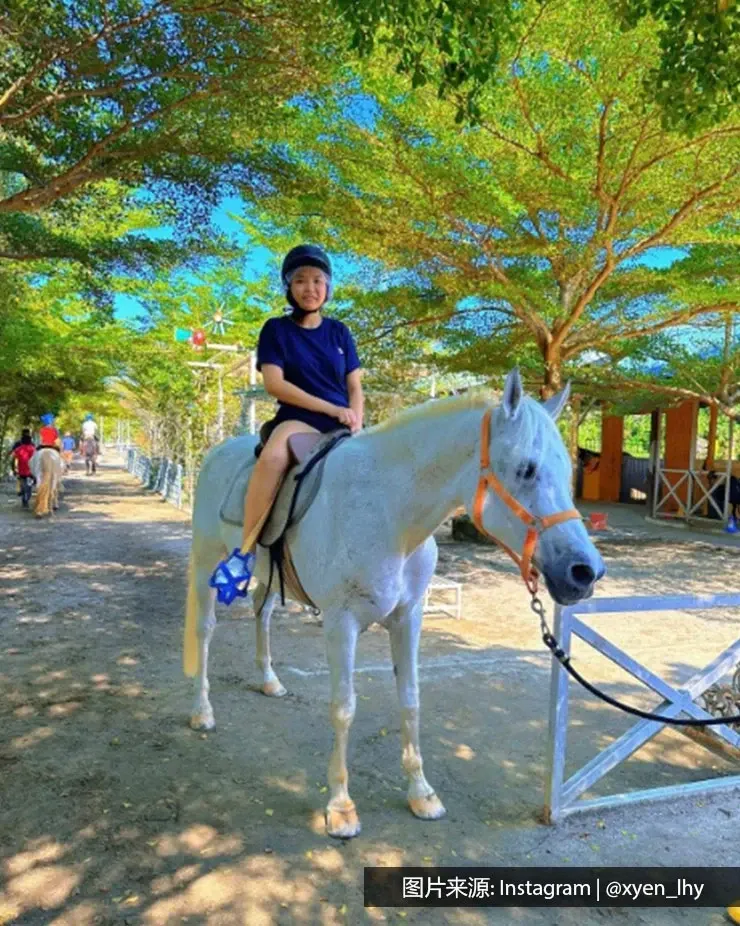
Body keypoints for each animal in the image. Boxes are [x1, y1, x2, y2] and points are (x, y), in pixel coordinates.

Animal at [184, 369, 605, 838]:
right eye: (526, 469)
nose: (585, 572)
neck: (390, 516)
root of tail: (219, 450)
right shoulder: (341, 623)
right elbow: (344, 707)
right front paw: (341, 807)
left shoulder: (408, 618)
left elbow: (411, 699)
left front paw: (421, 793)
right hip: (206, 562)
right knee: (204, 631)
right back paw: (201, 711)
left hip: (268, 577)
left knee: (263, 611)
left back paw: (269, 680)